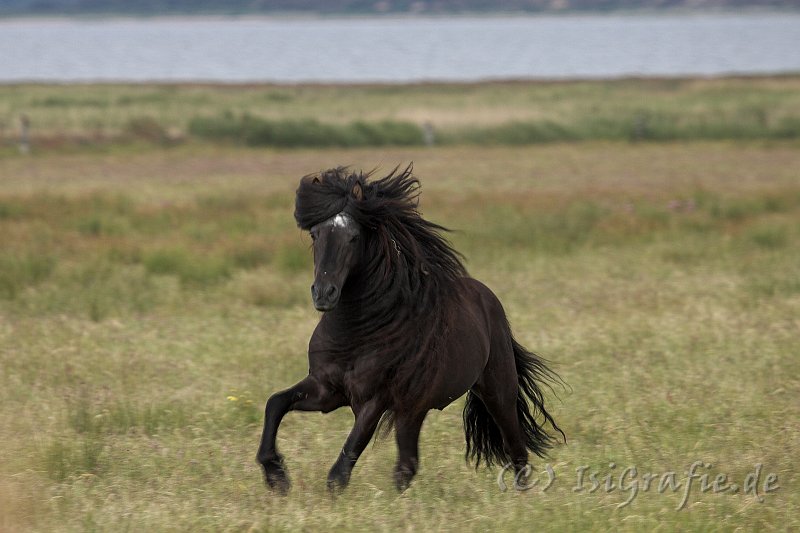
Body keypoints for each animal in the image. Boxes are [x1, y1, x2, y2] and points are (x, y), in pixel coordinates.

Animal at [256, 165, 564, 490]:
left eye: (353, 236)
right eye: (315, 234)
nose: (324, 293)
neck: (355, 333)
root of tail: (489, 302)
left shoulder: (374, 400)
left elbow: (343, 463)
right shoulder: (325, 389)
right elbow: (275, 403)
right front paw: (276, 476)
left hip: (497, 392)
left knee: (516, 450)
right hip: (413, 411)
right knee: (407, 465)